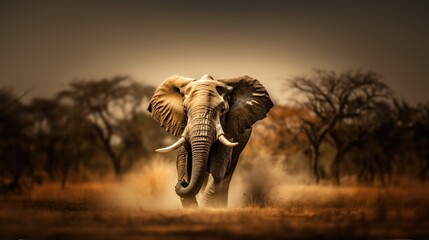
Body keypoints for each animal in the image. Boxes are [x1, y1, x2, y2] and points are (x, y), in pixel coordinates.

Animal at [149, 74, 272, 207]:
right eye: (185, 110)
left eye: (223, 110)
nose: (183, 183)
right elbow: (183, 163)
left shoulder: (228, 131)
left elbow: (218, 168)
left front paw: (207, 207)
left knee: (226, 177)